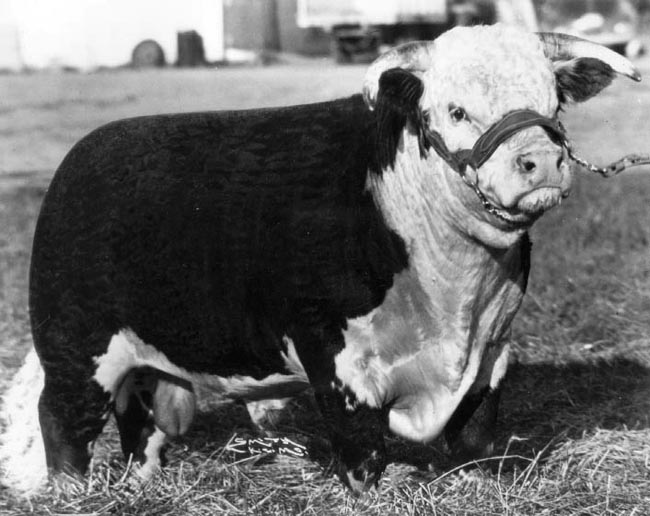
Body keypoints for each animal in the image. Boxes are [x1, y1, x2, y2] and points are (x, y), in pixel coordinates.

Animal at [0, 23, 636, 492]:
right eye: (456, 110)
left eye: (554, 103)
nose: (540, 161)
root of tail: (83, 154)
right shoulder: (335, 355)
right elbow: (362, 449)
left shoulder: (493, 351)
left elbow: (476, 438)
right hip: (75, 349)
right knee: (63, 423)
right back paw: (72, 492)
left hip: (148, 361)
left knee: (140, 423)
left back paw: (145, 483)